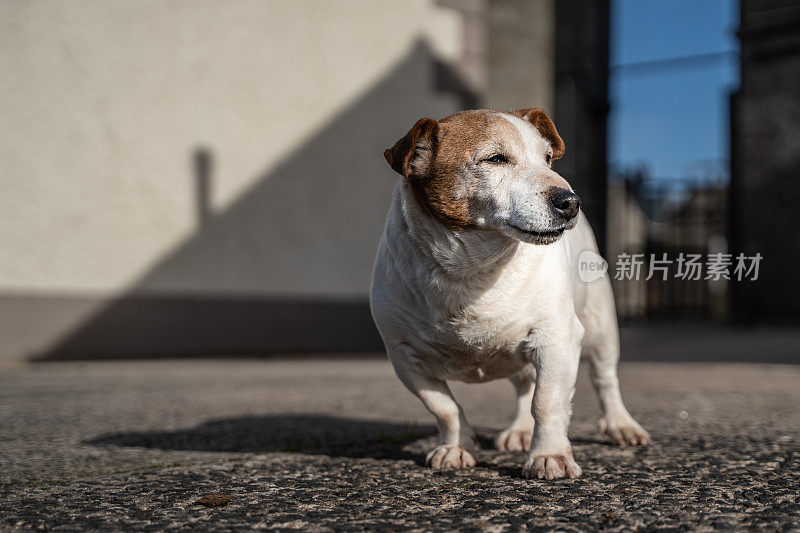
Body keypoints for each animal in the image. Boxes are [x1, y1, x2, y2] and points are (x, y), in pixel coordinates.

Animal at [370, 107, 648, 478]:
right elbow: (444, 407)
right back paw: (519, 430)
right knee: (525, 384)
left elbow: (547, 401)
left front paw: (549, 455)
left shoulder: (556, 339)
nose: (571, 201)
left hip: (600, 328)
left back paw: (621, 425)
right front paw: (456, 447)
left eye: (548, 159)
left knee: (605, 380)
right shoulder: (405, 357)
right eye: (495, 159)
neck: (475, 269)